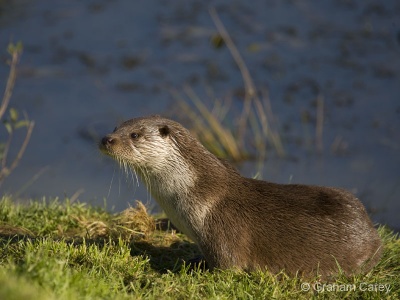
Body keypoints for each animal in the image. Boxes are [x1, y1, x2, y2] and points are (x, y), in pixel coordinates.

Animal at [99, 115, 382, 278]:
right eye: (115, 127)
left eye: (135, 134)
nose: (106, 139)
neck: (199, 195)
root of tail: (373, 235)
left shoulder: (223, 232)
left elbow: (228, 268)